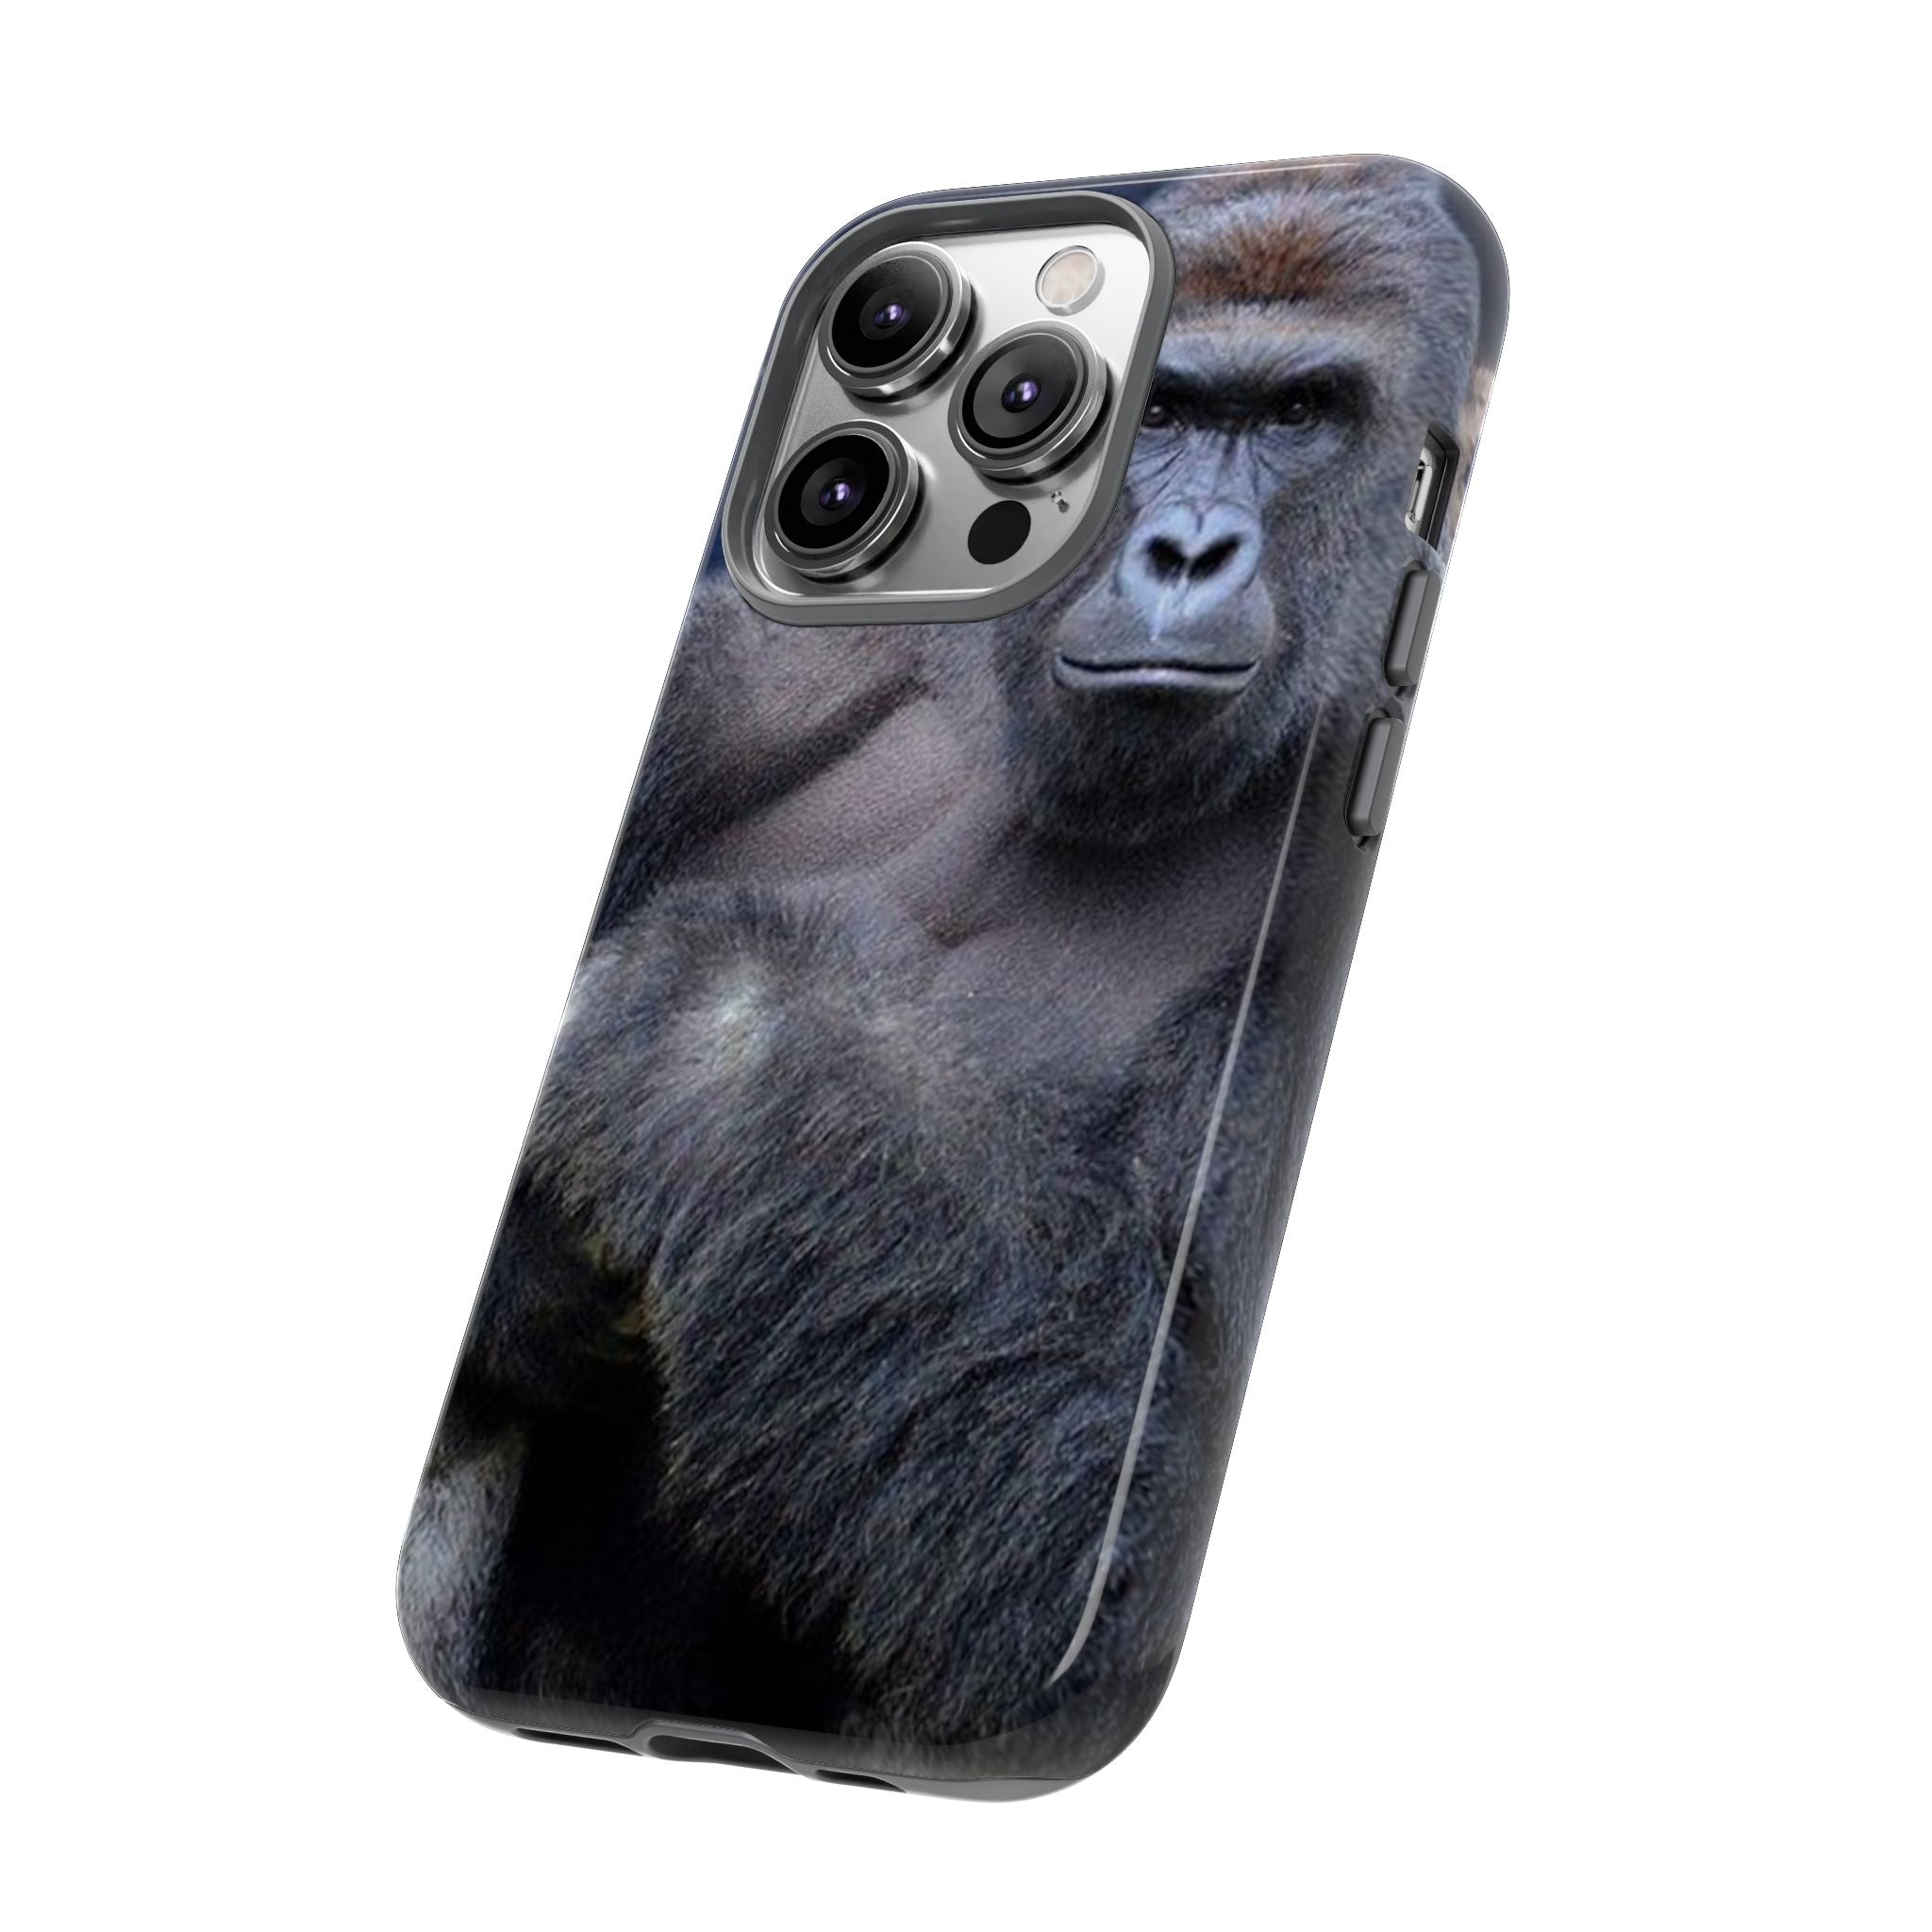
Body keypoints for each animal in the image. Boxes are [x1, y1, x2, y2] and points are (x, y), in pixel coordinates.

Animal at [400, 161, 1492, 1778]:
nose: (1183, 554)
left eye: (1302, 413)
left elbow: (1100, 1543)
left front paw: (723, 1038)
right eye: (1164, 412)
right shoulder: (753, 667)